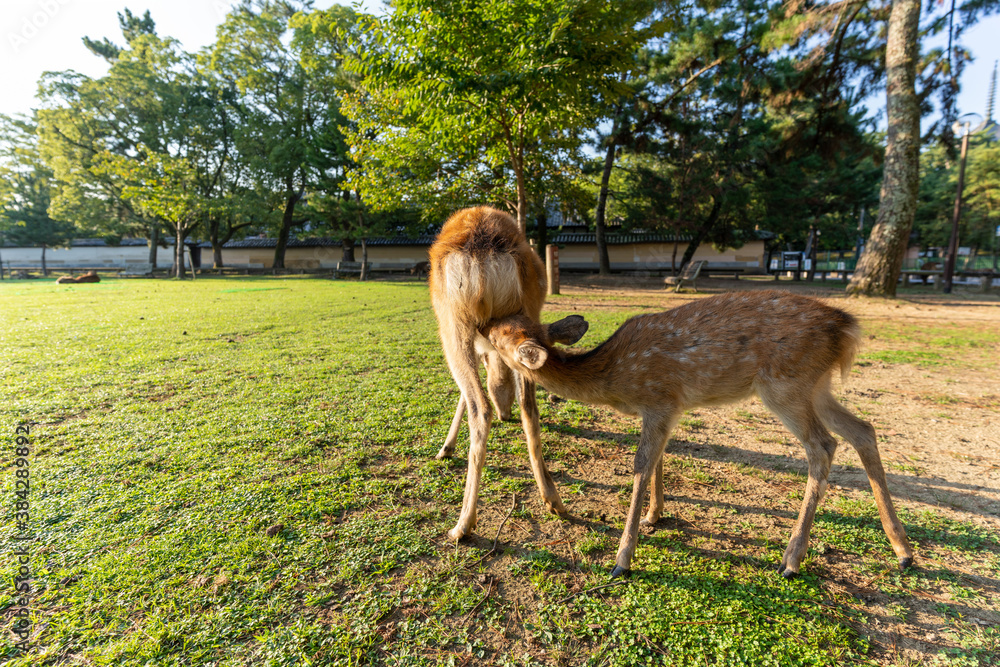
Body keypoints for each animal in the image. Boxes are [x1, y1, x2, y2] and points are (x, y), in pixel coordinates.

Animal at [428, 206, 588, 543]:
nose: (506, 412)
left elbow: (463, 396)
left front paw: (445, 448)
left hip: (451, 321)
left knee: (479, 407)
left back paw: (462, 525)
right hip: (528, 309)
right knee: (529, 406)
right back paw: (554, 500)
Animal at [481, 290, 914, 579]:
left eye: (500, 333)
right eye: (508, 321)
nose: (483, 323)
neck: (614, 379)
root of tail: (847, 327)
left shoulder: (658, 400)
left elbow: (640, 466)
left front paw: (622, 560)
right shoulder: (667, 409)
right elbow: (659, 459)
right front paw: (655, 516)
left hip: (785, 385)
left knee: (823, 446)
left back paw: (792, 560)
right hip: (817, 386)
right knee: (863, 430)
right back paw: (903, 550)